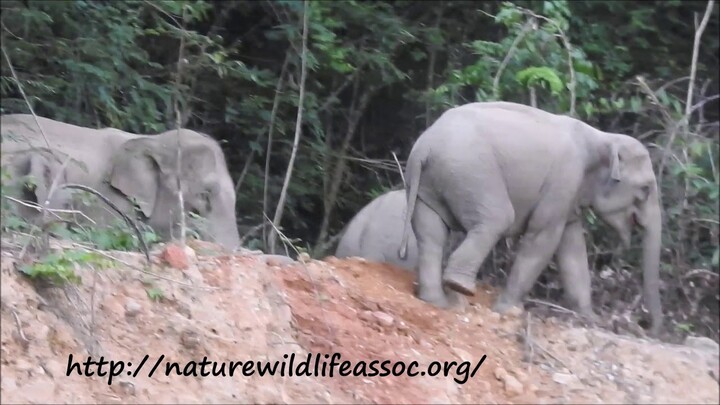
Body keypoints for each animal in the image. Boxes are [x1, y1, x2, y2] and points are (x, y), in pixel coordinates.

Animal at [398, 101, 663, 335]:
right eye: (645, 189)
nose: (646, 327)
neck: (603, 138)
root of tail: (425, 145)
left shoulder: (569, 196)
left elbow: (572, 250)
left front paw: (590, 319)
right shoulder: (564, 179)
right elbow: (543, 239)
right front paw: (505, 309)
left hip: (428, 185)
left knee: (431, 236)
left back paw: (437, 301)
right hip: (471, 173)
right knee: (496, 219)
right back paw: (459, 287)